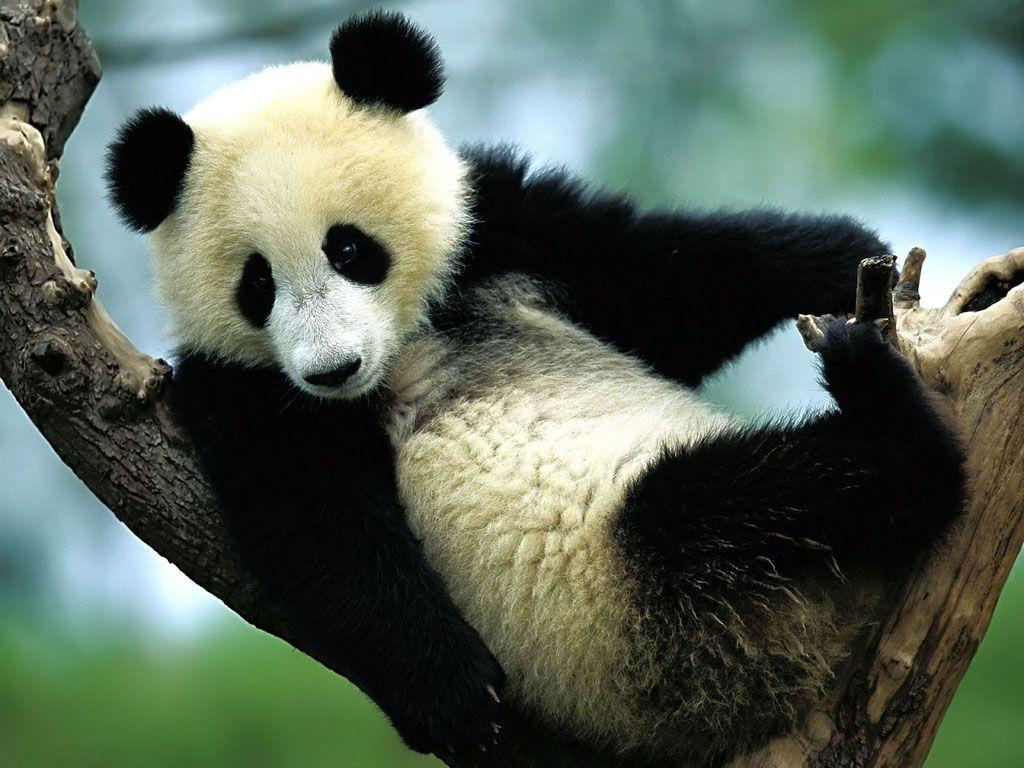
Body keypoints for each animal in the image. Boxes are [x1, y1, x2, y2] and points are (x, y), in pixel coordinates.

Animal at [105, 11, 966, 766]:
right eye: (258, 285)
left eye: (349, 249)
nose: (332, 369)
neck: (408, 342)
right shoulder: (245, 389)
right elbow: (319, 524)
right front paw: (452, 693)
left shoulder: (504, 233)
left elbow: (667, 280)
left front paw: (845, 253)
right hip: (665, 619)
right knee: (732, 504)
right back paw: (880, 407)